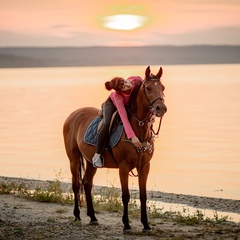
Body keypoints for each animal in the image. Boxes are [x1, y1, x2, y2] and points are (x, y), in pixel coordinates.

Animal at [62, 65, 167, 231]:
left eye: (162, 88)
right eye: (148, 88)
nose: (160, 108)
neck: (138, 130)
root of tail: (73, 115)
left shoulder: (144, 166)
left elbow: (143, 196)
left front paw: (146, 224)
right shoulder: (123, 167)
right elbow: (125, 195)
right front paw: (126, 224)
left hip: (91, 162)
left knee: (87, 183)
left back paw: (93, 217)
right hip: (74, 158)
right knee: (76, 185)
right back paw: (77, 215)